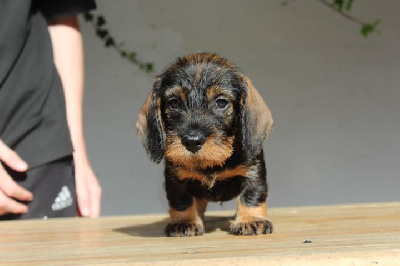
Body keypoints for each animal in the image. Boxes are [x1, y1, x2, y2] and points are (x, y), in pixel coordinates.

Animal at [136, 52, 274, 237]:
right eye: (174, 103)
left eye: (221, 102)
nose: (192, 141)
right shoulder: (176, 178)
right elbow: (182, 200)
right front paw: (184, 222)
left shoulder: (253, 172)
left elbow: (252, 195)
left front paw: (250, 220)